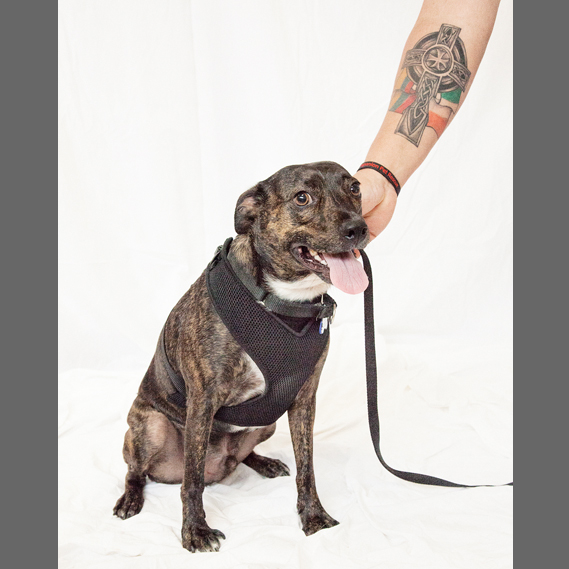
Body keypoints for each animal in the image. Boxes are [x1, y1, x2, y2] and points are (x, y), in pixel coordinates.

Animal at [113, 161, 370, 552]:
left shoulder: (303, 401)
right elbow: (191, 481)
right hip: (151, 427)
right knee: (136, 471)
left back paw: (264, 463)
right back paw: (130, 499)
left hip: (269, 420)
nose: (358, 228)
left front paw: (313, 516)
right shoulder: (202, 401)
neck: (283, 302)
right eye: (302, 198)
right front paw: (196, 531)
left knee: (242, 454)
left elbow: (307, 467)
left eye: (355, 188)